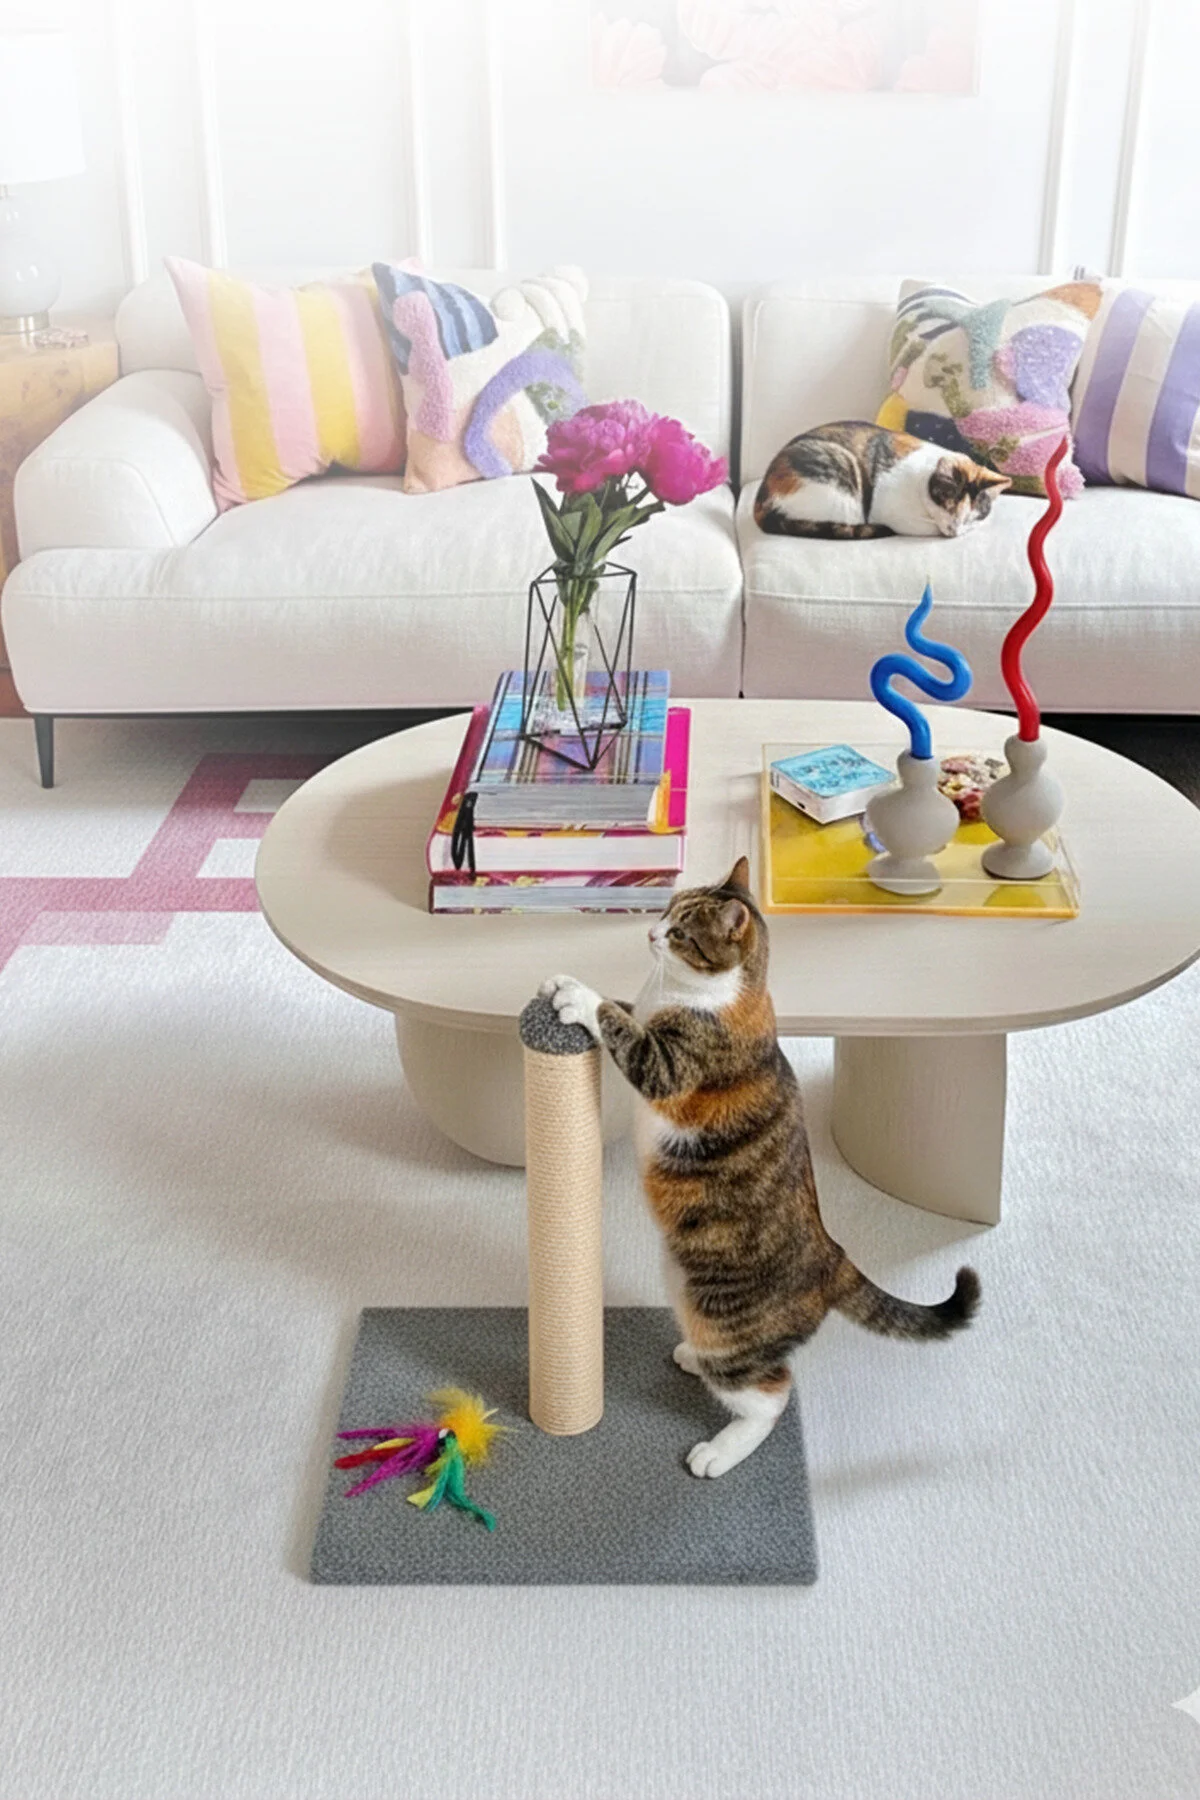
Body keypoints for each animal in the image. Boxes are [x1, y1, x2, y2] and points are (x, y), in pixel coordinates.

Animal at [542, 856, 980, 1479]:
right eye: (667, 908)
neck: (690, 990)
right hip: (686, 1287)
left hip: (724, 1322)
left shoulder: (672, 1063)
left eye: (681, 933)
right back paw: (689, 1357)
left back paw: (720, 1450)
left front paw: (577, 997)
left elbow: (619, 1025)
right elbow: (626, 1007)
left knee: (771, 1393)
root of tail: (831, 1256)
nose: (651, 932)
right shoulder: (645, 1012)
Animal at [754, 420, 1011, 540]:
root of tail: (760, 502)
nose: (954, 530)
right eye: (948, 504)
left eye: (972, 515)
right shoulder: (888, 510)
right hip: (844, 489)